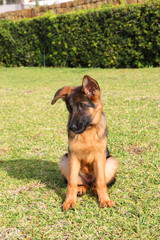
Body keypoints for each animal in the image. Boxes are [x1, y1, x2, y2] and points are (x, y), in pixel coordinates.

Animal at [51, 74, 117, 210]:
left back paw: (95, 190)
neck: (88, 131)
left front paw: (105, 200)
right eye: (69, 108)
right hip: (65, 160)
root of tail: (89, 181)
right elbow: (71, 183)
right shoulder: (73, 157)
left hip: (111, 162)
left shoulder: (100, 156)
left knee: (96, 184)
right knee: (81, 184)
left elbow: (101, 182)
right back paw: (81, 189)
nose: (71, 128)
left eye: (82, 106)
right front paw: (69, 201)